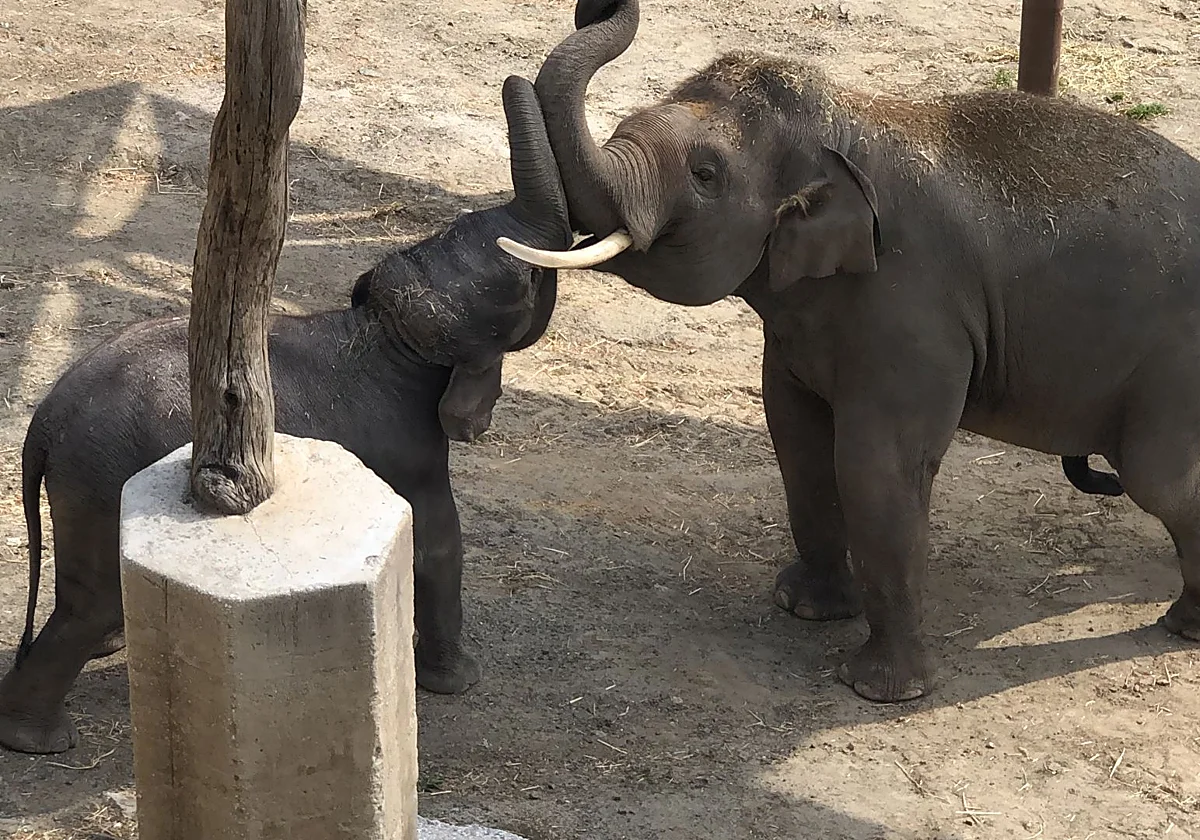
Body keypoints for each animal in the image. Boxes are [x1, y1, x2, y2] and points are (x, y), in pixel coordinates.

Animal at [0, 75, 570, 754]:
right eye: (523, 280)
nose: (516, 79)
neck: (387, 330)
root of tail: (44, 421)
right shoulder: (409, 447)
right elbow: (436, 539)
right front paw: (457, 683)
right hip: (100, 475)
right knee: (91, 605)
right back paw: (40, 740)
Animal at [501, 0, 1200, 703]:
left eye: (705, 174)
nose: (598, 7)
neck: (847, 121)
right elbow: (797, 439)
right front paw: (804, 607)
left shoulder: (915, 312)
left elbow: (876, 467)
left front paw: (881, 691)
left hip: (1175, 368)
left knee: (1161, 481)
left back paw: (1183, 626)